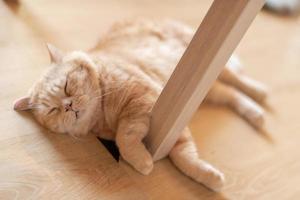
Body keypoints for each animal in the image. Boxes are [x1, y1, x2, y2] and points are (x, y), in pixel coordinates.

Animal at [13, 19, 268, 191]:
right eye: (53, 110)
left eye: (67, 86)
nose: (68, 106)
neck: (102, 115)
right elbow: (180, 155)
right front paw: (207, 177)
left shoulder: (146, 98)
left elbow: (127, 138)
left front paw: (143, 161)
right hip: (206, 89)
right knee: (231, 94)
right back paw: (256, 115)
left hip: (214, 69)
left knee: (239, 81)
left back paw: (260, 92)